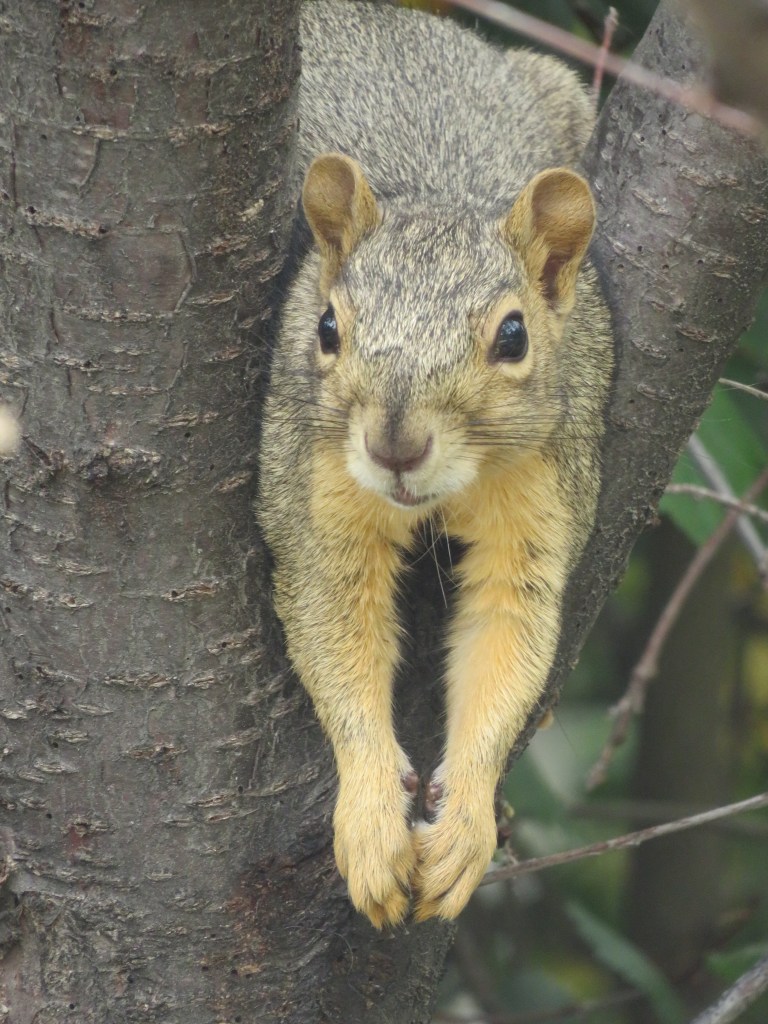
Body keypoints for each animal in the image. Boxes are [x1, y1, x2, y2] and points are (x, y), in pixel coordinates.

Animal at [257, 0, 613, 928]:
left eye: (514, 336)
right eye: (326, 327)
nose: (395, 445)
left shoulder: (544, 496)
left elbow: (508, 636)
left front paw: (469, 824)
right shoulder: (317, 490)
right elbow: (335, 630)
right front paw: (372, 818)